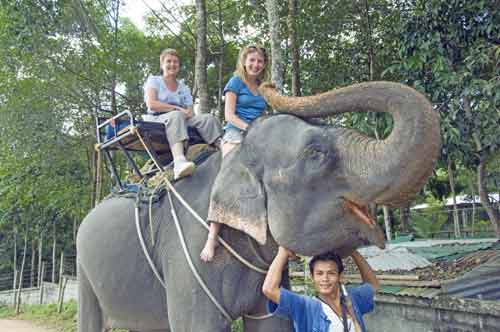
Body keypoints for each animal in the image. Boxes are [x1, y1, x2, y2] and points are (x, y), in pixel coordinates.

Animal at [76, 81, 440, 332]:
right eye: (315, 153)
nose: (267, 84)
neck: (233, 159)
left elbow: (273, 323)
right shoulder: (188, 253)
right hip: (83, 268)